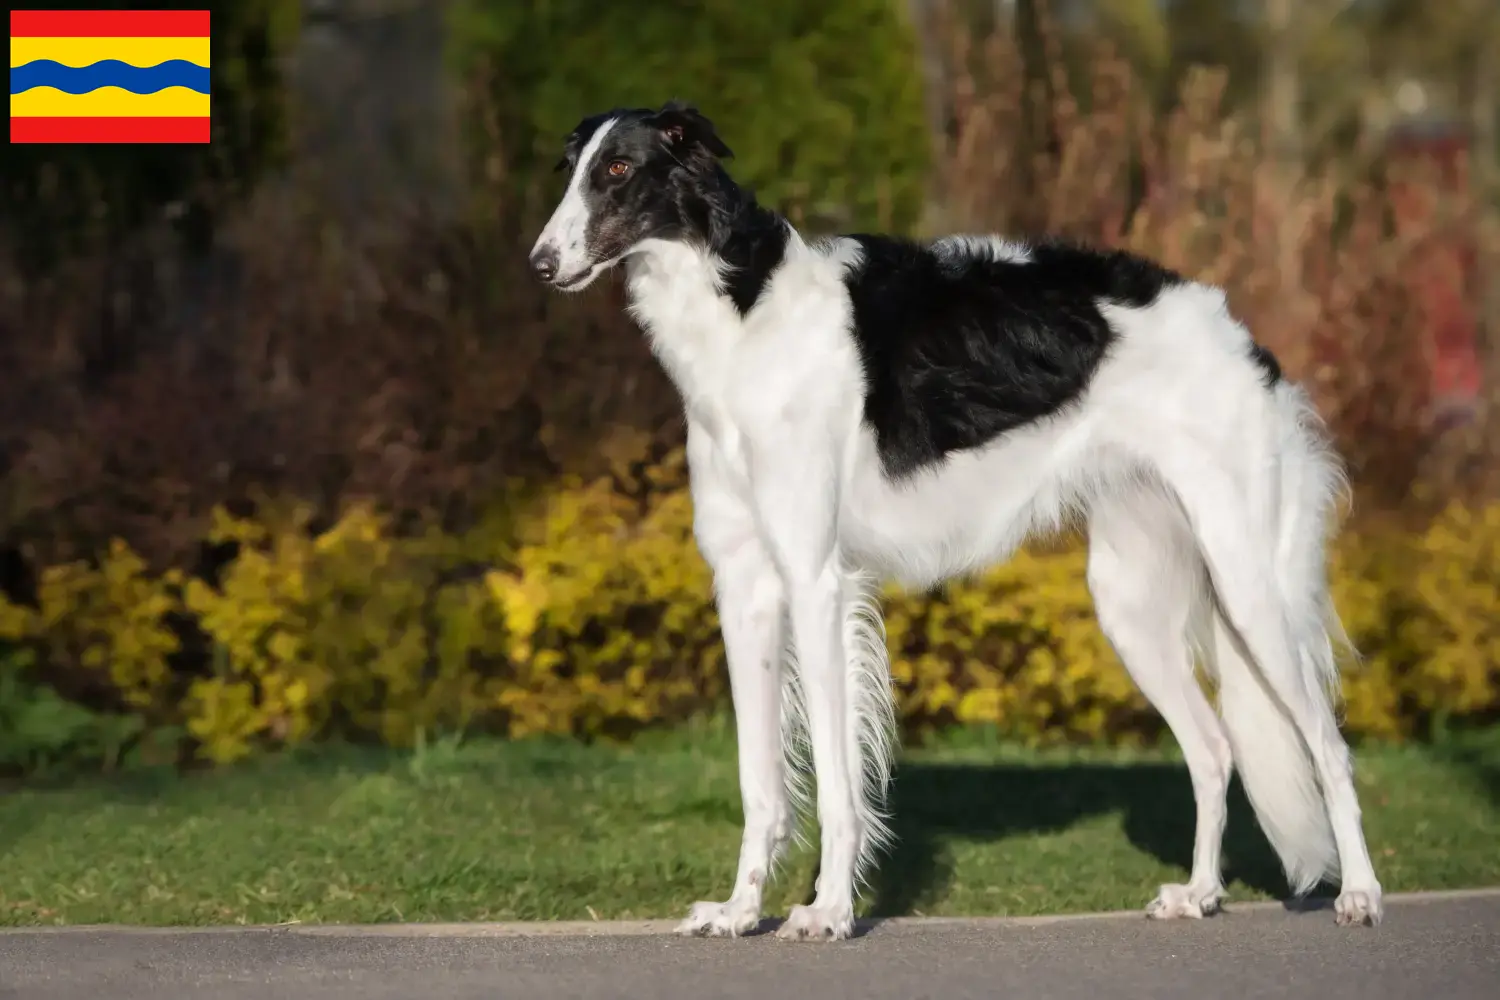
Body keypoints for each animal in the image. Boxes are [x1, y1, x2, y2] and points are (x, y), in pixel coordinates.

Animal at [528, 99, 1380, 941]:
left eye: (618, 168)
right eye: (571, 168)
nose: (536, 263)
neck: (742, 312)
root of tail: (1240, 336)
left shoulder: (814, 580)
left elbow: (834, 779)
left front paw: (828, 910)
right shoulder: (744, 587)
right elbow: (759, 779)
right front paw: (740, 910)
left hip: (1248, 582)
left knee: (1328, 747)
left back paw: (1361, 894)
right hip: (1130, 600)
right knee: (1213, 748)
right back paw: (1199, 893)